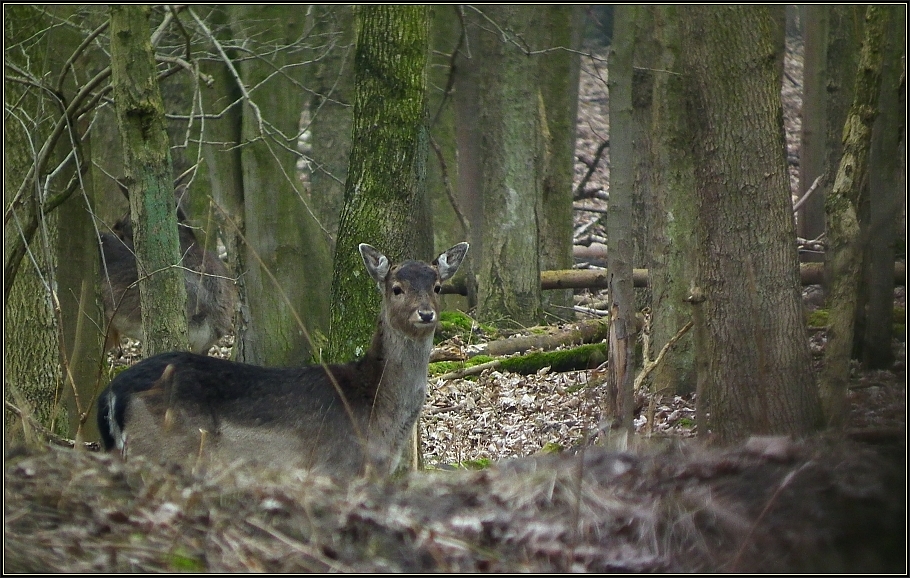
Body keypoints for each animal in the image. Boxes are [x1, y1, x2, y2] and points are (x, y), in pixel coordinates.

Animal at [98, 241, 470, 474]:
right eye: (396, 289)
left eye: (437, 286)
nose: (425, 314)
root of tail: (112, 393)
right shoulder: (334, 469)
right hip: (163, 452)